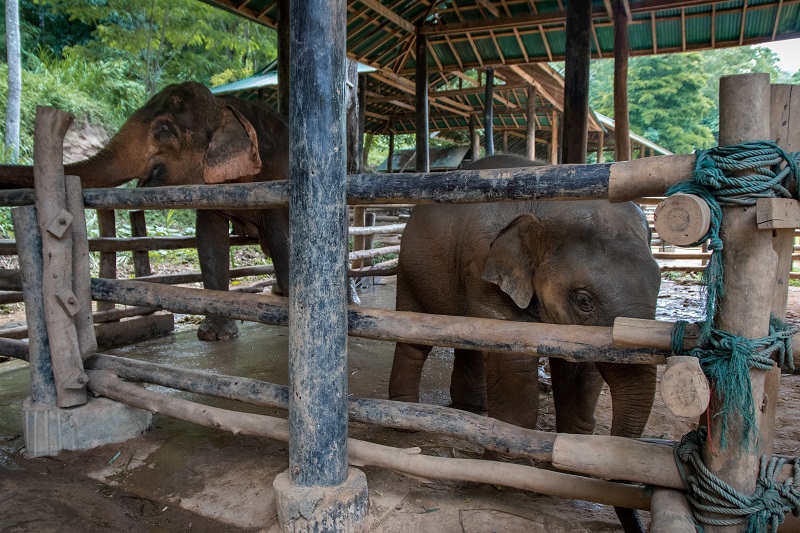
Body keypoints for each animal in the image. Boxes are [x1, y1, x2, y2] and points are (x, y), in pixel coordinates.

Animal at [0, 82, 291, 341]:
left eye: (164, 128)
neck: (225, 107)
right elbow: (209, 241)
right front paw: (214, 335)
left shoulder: (279, 179)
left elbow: (281, 239)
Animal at [388, 154, 660, 533]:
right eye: (584, 300)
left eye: (660, 284)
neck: (545, 203)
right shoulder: (482, 265)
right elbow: (514, 358)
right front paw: (504, 475)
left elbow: (578, 367)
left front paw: (569, 466)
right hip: (412, 269)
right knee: (414, 340)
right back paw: (404, 420)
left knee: (471, 342)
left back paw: (473, 408)